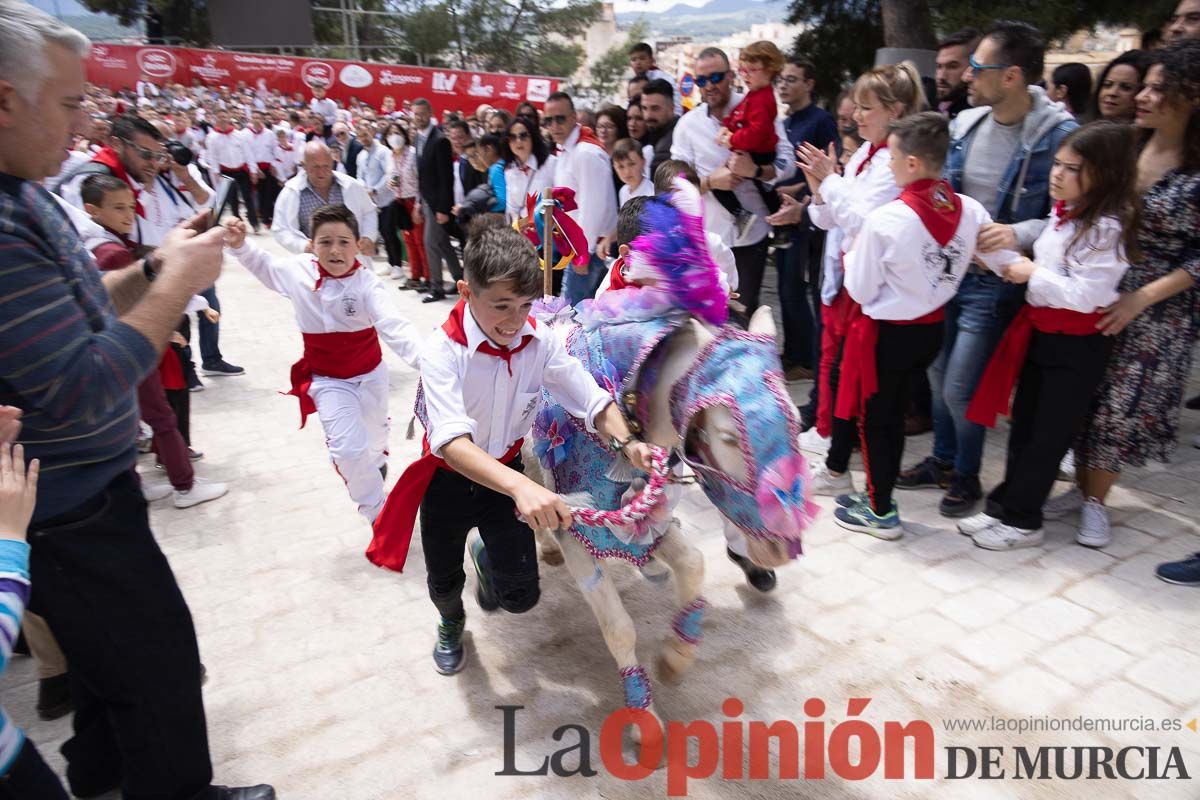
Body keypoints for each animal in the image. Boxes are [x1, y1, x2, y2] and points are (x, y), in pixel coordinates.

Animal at [516, 181, 816, 724]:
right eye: (729, 438)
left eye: (796, 422)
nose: (780, 549)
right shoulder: (580, 523)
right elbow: (618, 627)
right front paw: (644, 717)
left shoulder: (646, 510)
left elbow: (693, 564)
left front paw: (676, 656)